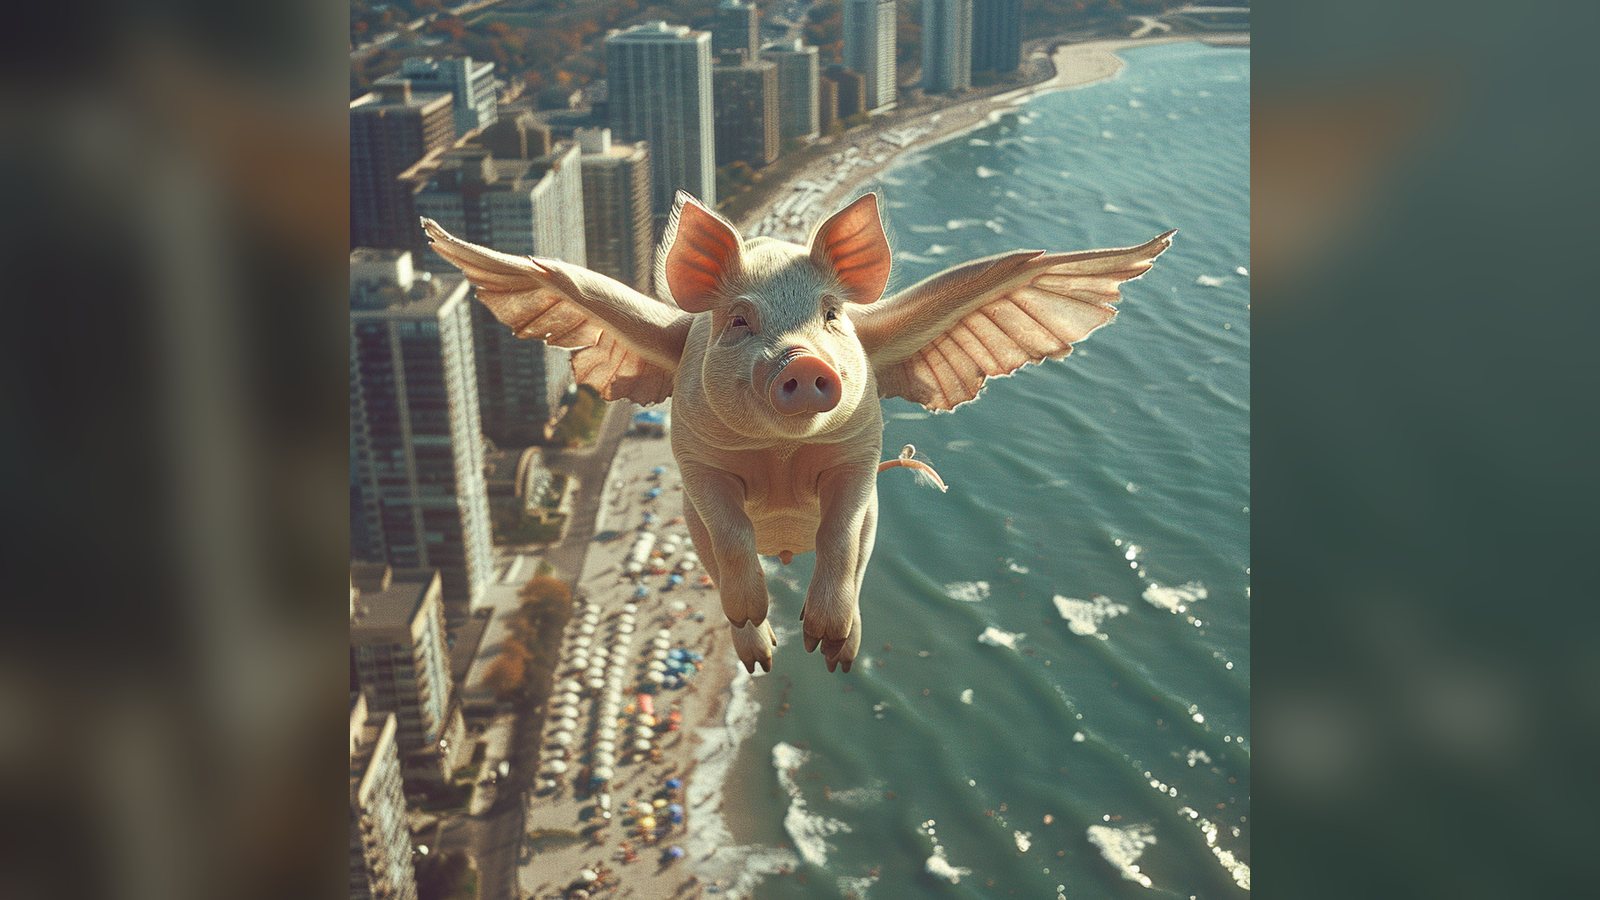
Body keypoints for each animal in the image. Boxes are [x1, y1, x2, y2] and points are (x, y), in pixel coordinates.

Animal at [422, 192, 1173, 674]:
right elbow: (729, 529)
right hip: (691, 532)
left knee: (858, 559)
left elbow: (839, 534)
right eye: (739, 320)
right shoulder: (695, 463)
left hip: (877, 524)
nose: (806, 364)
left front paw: (820, 637)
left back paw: (833, 656)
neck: (780, 452)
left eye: (833, 314)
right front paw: (760, 615)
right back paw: (761, 656)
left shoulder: (858, 460)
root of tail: (785, 550)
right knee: (720, 567)